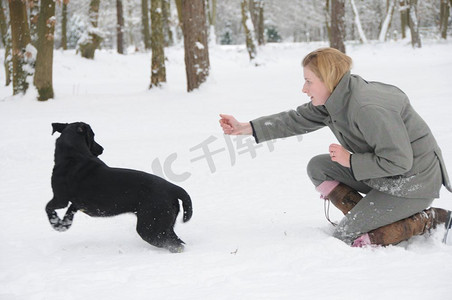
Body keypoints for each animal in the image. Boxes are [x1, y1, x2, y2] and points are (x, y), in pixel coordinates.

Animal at [46, 122, 192, 253]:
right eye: (93, 136)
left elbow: (48, 208)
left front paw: (56, 223)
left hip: (150, 227)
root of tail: (174, 188)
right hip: (163, 225)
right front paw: (64, 224)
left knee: (175, 244)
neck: (73, 154)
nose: (101, 149)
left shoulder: (60, 199)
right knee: (177, 242)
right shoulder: (75, 203)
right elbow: (69, 212)